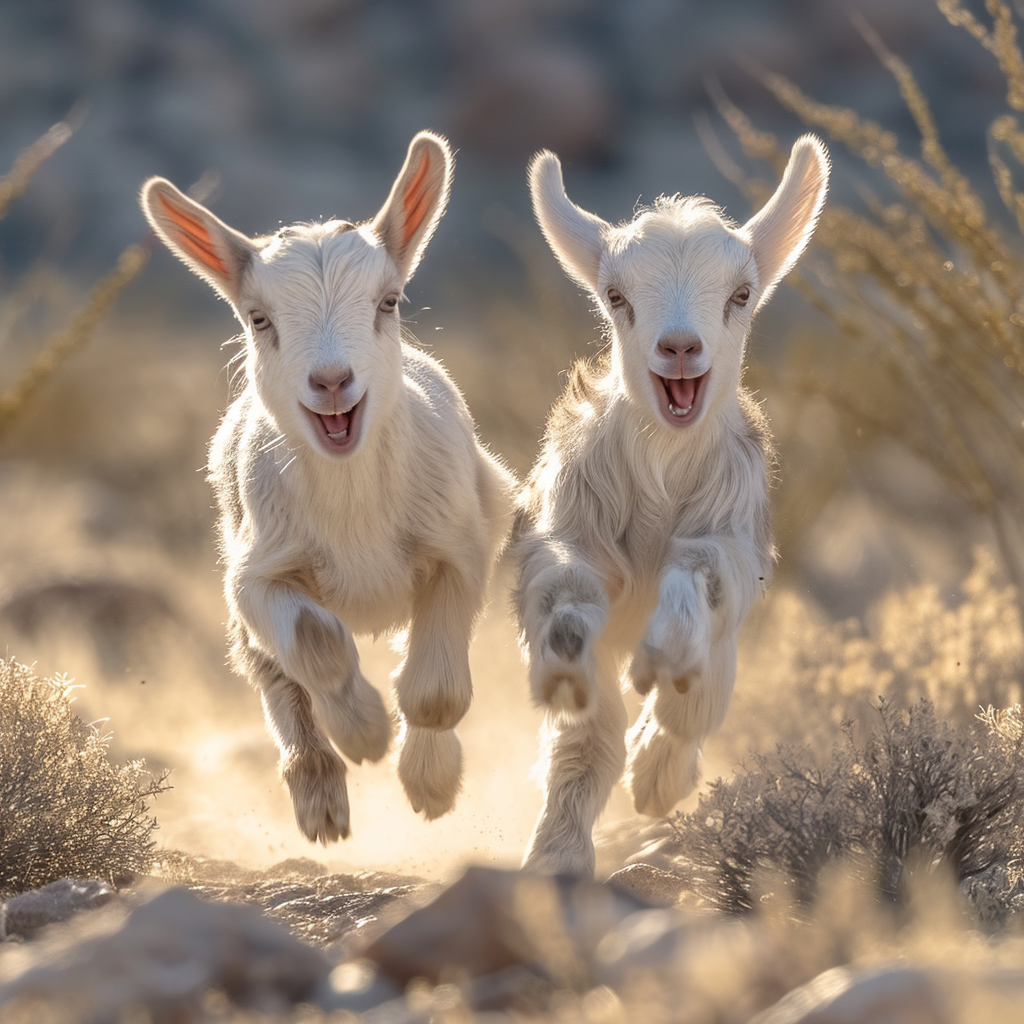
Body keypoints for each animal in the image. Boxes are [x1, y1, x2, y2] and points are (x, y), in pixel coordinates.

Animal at [140, 132, 516, 843]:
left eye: (389, 301)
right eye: (258, 318)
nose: (333, 381)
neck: (352, 504)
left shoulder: (461, 546)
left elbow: (435, 691)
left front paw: (428, 782)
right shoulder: (256, 573)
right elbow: (313, 645)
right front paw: (365, 733)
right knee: (272, 673)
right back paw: (319, 798)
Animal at [507, 134, 827, 872]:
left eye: (741, 294)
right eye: (616, 297)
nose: (679, 347)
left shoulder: (729, 542)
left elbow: (699, 600)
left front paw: (657, 753)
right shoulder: (567, 533)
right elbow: (583, 723)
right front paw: (556, 857)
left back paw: (658, 772)